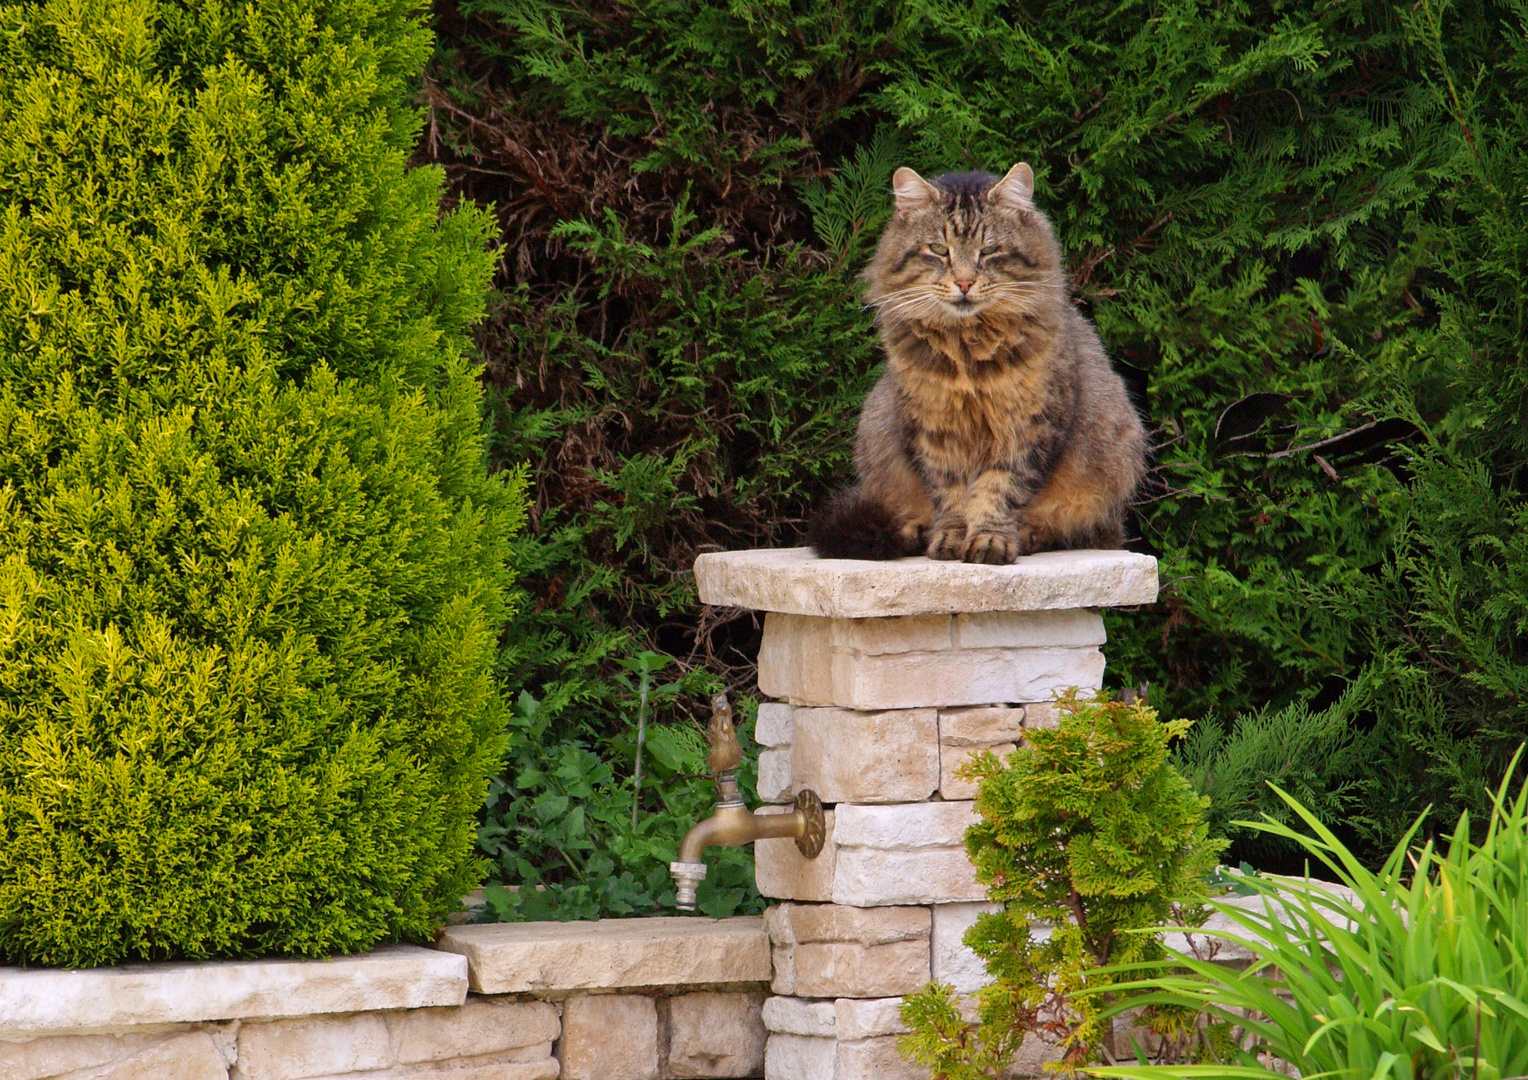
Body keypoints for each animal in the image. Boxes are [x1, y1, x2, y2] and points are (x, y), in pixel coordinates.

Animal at [812, 164, 1149, 565]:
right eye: (938, 250)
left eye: (989, 251)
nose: (964, 282)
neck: (966, 349)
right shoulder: (935, 430)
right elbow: (952, 496)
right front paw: (951, 539)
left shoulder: (1026, 427)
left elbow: (999, 492)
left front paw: (990, 542)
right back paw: (914, 532)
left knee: (1076, 530)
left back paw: (1031, 536)